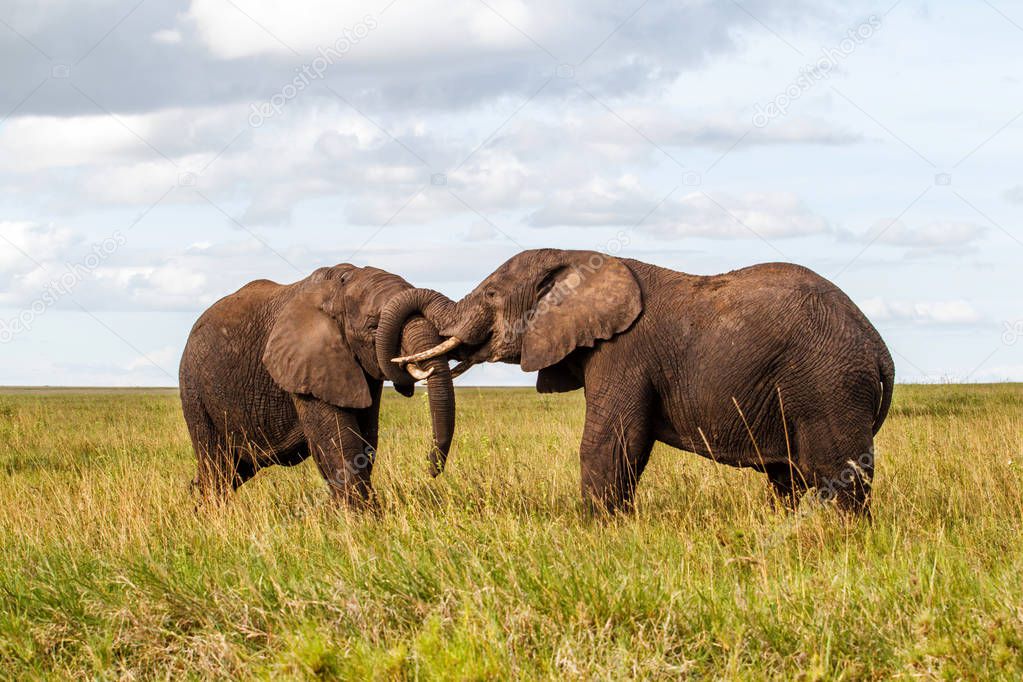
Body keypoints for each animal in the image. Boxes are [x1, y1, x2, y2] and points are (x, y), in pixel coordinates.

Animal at [179, 263, 456, 509]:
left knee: (236, 468)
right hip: (193, 388)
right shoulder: (305, 364)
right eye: (374, 326)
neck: (340, 286)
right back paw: (213, 516)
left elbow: (366, 437)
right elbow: (338, 438)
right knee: (217, 464)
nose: (431, 468)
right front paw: (363, 520)